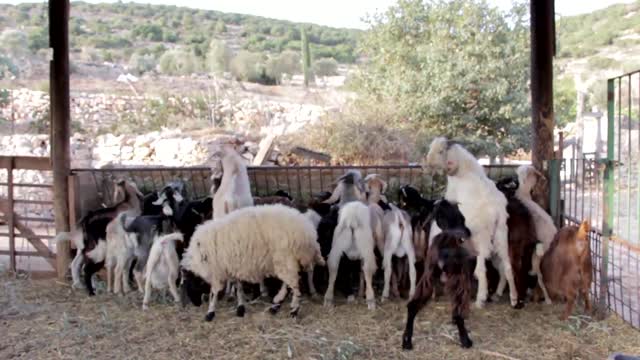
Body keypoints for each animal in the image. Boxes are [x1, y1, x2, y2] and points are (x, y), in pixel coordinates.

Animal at [181, 204, 324, 320]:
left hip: (286, 259)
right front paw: (240, 308)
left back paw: (294, 310)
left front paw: (210, 313)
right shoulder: (231, 265)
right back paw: (276, 305)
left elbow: (214, 293)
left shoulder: (218, 271)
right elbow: (238, 286)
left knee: (295, 285)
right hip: (285, 261)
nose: (196, 304)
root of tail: (309, 233)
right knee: (288, 284)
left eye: (190, 284)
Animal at [424, 136, 520, 308]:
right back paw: (512, 298)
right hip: (501, 236)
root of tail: (495, 212)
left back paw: (481, 299)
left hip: (481, 239)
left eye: (441, 151)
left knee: (481, 270)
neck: (465, 170)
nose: (428, 164)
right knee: (507, 267)